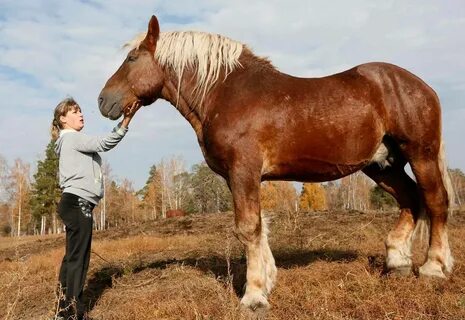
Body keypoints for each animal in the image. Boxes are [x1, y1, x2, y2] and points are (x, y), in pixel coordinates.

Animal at [99, 15, 454, 312]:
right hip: (382, 165)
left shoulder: (244, 170)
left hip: (420, 154)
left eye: (131, 59)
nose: (103, 101)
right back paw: (397, 263)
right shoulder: (240, 176)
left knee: (435, 201)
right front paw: (267, 282)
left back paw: (434, 267)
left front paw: (253, 296)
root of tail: (423, 87)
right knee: (410, 199)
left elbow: (248, 228)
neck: (225, 93)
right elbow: (259, 226)